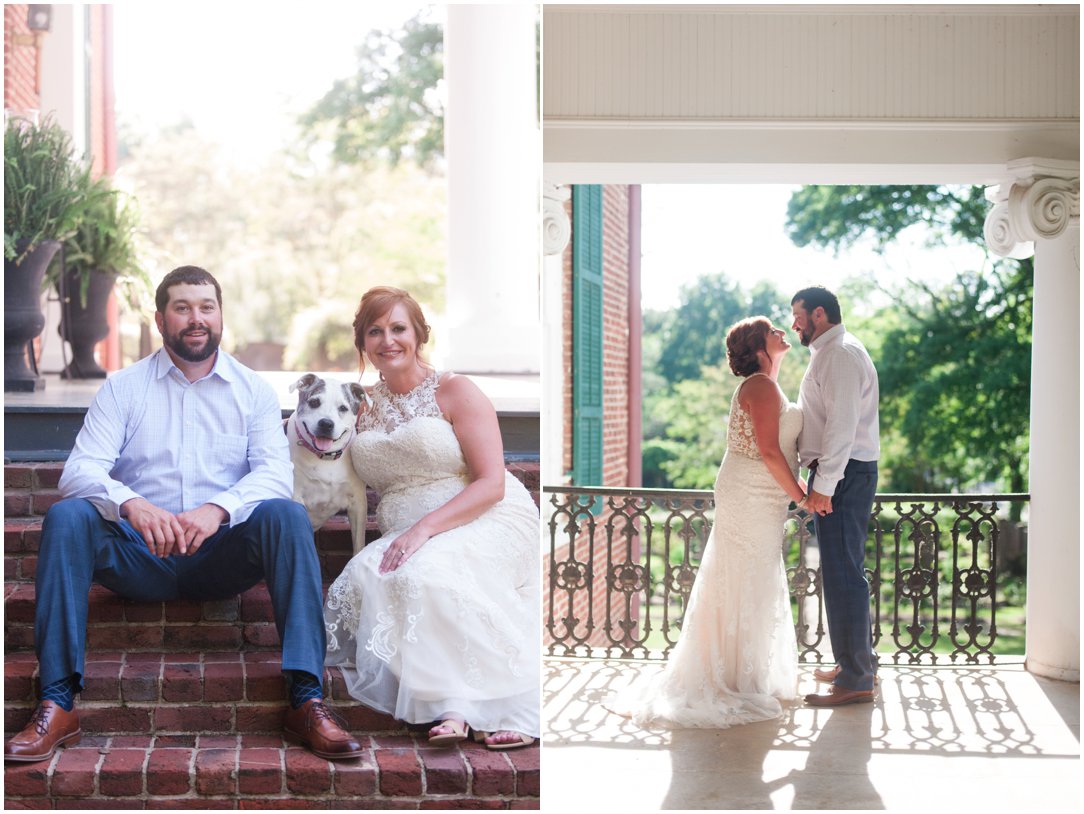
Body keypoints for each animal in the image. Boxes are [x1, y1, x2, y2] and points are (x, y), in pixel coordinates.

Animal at [288, 375, 368, 554]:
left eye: (343, 408)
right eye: (314, 402)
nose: (326, 423)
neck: (326, 457)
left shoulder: (357, 503)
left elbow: (358, 543)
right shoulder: (296, 497)